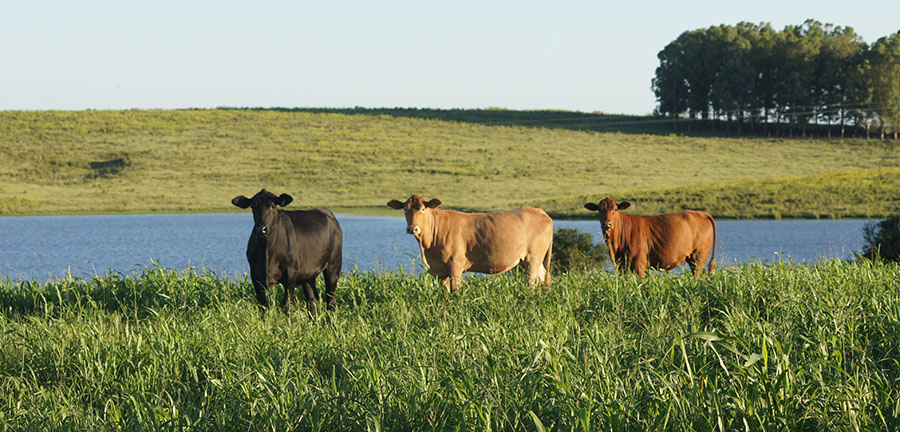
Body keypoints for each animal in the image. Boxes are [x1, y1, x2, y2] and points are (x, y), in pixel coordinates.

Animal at [384, 196, 552, 294]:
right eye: (405, 209)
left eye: (423, 209)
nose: (412, 228)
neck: (428, 249)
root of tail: (541, 212)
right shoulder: (439, 270)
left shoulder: (455, 264)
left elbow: (456, 291)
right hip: (533, 260)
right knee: (544, 278)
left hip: (533, 257)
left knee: (531, 282)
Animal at [584, 197, 716, 276]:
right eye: (599, 210)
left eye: (615, 209)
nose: (607, 224)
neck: (615, 246)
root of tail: (700, 213)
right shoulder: (621, 266)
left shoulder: (639, 265)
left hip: (699, 256)